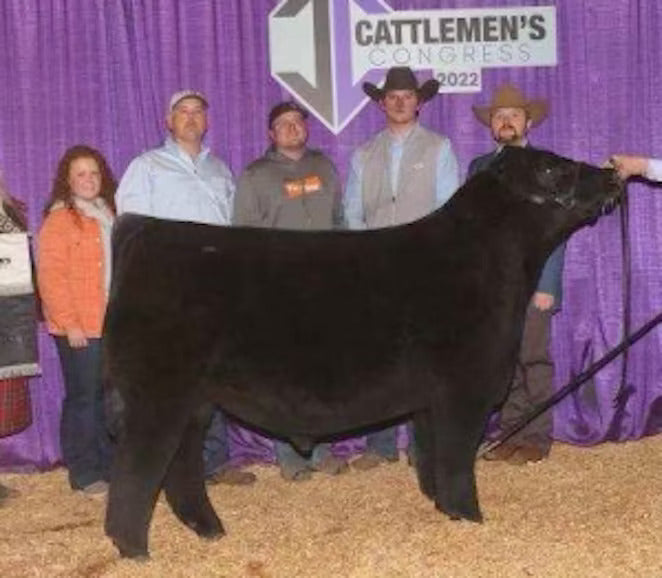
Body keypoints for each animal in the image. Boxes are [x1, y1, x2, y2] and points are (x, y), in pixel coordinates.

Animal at [103, 146, 623, 558]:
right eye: (552, 169)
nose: (613, 172)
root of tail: (144, 230)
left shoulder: (431, 400)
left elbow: (433, 457)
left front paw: (445, 511)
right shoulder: (465, 389)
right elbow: (457, 459)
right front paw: (471, 516)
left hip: (194, 400)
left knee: (180, 467)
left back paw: (208, 530)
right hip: (157, 395)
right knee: (136, 471)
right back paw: (134, 550)